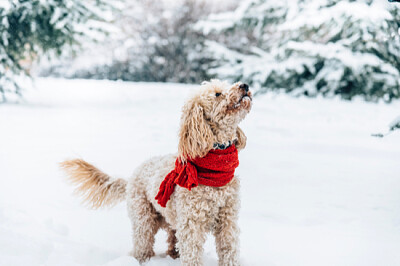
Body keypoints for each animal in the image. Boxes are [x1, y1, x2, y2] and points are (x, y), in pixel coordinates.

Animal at [60, 80, 252, 264]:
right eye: (217, 94)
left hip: (171, 220)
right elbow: (192, 255)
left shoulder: (228, 221)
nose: (245, 85)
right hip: (144, 219)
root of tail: (131, 178)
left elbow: (229, 251)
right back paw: (141, 259)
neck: (216, 167)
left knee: (172, 242)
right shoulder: (191, 225)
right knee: (143, 244)